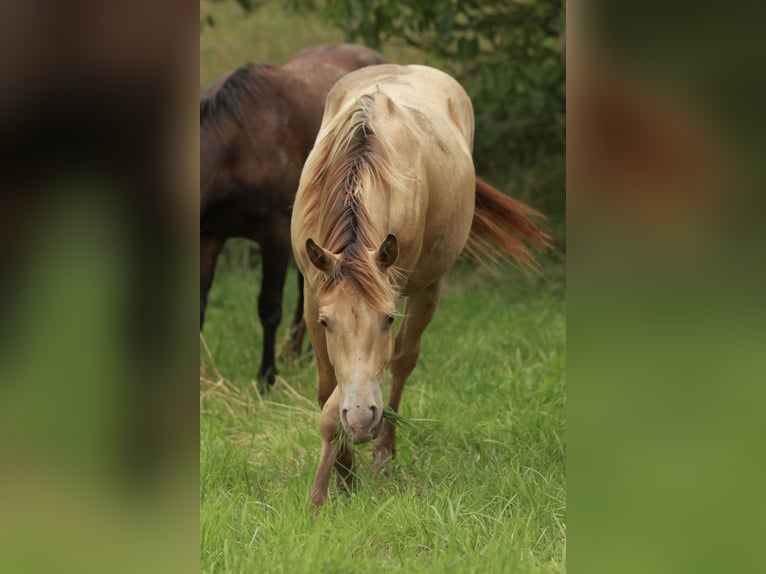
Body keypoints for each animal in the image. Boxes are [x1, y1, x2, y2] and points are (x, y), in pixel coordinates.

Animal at [292, 64, 548, 508]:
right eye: (326, 323)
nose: (362, 419)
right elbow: (328, 390)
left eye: (387, 319)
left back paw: (383, 454)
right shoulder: (311, 296)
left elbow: (345, 394)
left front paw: (328, 487)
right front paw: (341, 474)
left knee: (402, 362)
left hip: (429, 288)